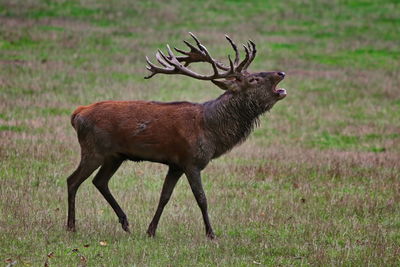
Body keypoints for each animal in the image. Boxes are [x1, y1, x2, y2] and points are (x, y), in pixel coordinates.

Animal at [68, 32, 288, 240]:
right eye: (253, 79)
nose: (281, 72)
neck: (211, 131)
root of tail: (77, 113)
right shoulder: (191, 161)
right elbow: (202, 199)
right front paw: (211, 234)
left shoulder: (175, 165)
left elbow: (164, 196)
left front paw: (151, 231)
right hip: (93, 149)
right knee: (73, 180)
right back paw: (71, 226)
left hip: (115, 156)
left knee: (100, 181)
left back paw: (125, 222)